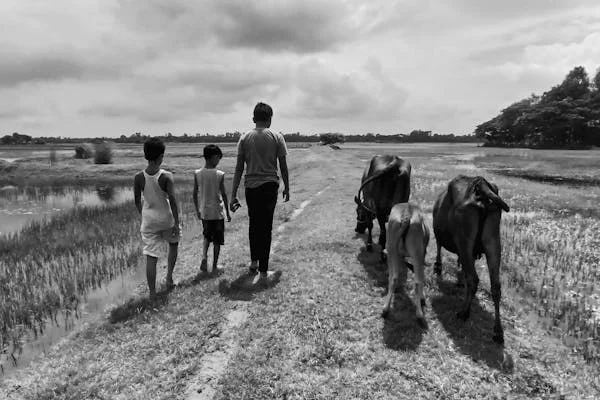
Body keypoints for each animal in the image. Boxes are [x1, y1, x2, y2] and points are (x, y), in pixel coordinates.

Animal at [432, 175, 510, 344]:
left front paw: (438, 267)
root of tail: (480, 185)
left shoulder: (440, 235)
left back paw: (464, 312)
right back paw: (498, 331)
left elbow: (439, 247)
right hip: (493, 242)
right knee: (496, 286)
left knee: (474, 278)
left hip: (464, 241)